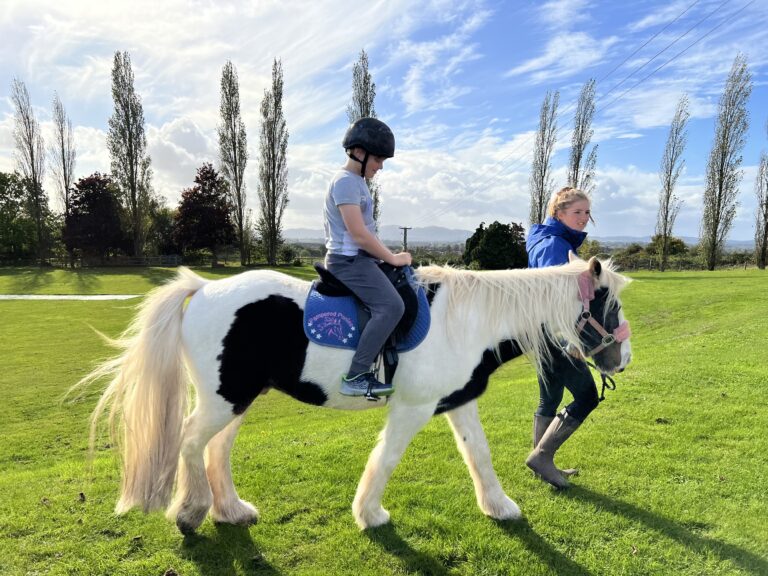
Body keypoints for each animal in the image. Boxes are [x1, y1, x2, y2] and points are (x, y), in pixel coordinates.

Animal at [78, 254, 632, 532]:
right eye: (611, 307)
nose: (622, 360)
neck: (468, 321)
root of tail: (203, 288)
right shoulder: (412, 409)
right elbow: (386, 458)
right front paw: (370, 515)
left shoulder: (458, 403)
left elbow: (480, 454)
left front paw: (500, 507)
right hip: (224, 399)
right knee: (191, 444)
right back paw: (191, 513)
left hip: (233, 399)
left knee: (216, 449)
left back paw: (231, 511)